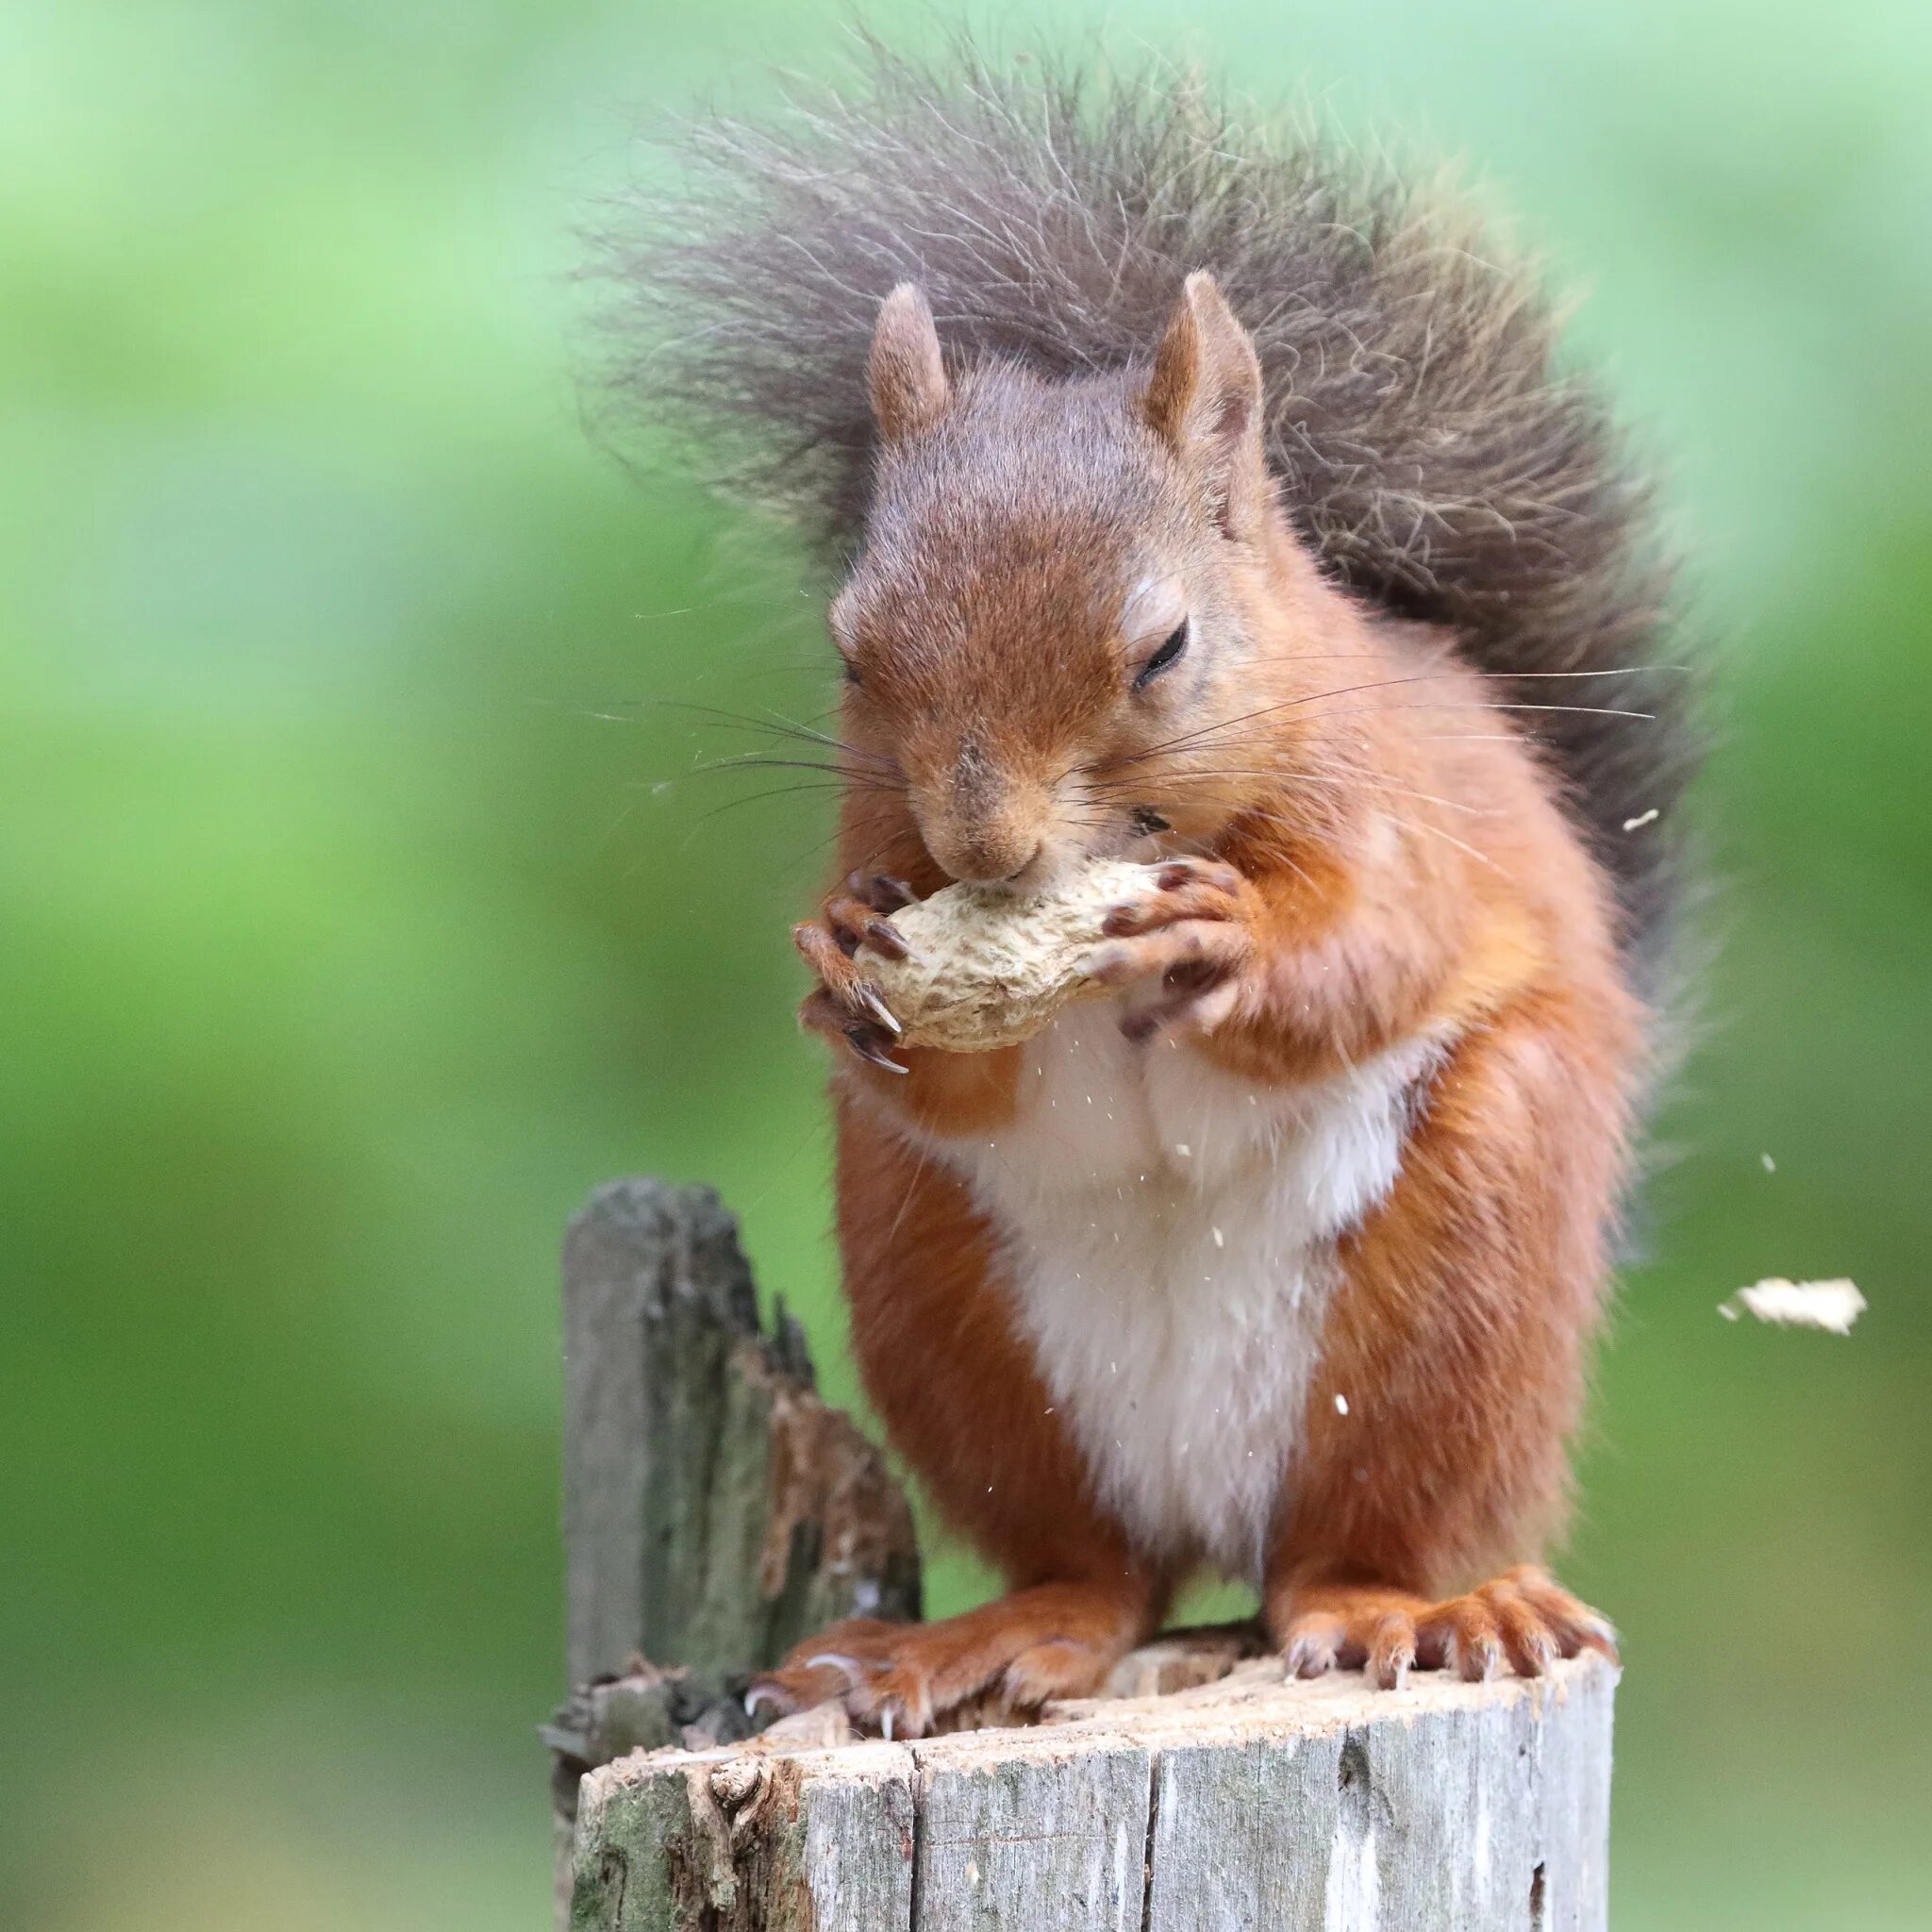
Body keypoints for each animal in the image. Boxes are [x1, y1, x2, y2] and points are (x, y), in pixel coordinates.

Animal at [607, 42, 1707, 1739]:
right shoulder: (877, 825)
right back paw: (979, 1638)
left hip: (1468, 1268)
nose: (983, 850)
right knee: (1092, 1569)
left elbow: (1375, 951)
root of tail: (1214, 1519)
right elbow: (950, 1055)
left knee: (1348, 1546)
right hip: (945, 1300)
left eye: (1165, 649)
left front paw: (1225, 943)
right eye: (853, 651)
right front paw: (847, 957)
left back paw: (1422, 1606)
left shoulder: (1395, 813)